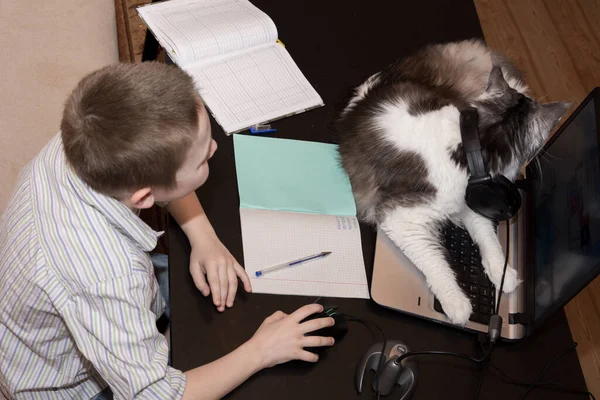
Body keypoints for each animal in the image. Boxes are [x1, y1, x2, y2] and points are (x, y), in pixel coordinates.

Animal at [336, 38, 568, 324]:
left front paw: (503, 274)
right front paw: (457, 304)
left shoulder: (473, 198)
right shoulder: (400, 217)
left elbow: (487, 237)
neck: (470, 146)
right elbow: (435, 262)